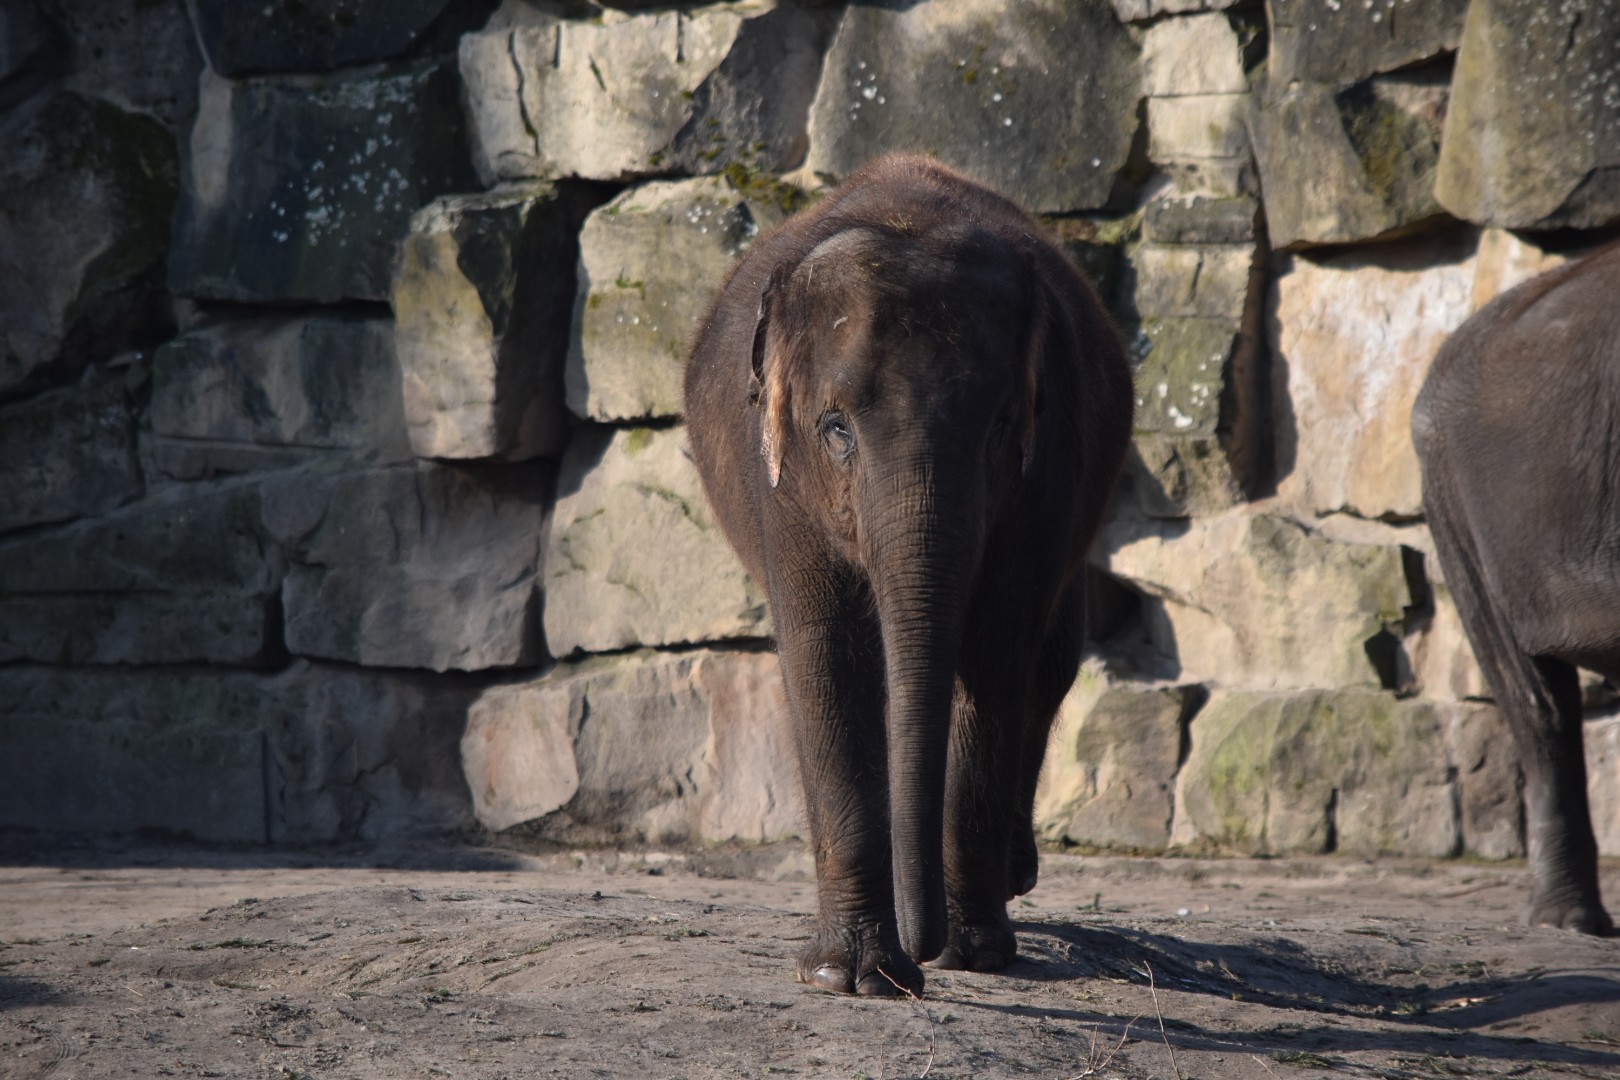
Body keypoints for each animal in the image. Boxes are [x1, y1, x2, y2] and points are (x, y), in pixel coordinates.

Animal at [683, 154, 1134, 995]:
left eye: (1000, 425)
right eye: (835, 430)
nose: (923, 956)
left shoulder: (1049, 465)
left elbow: (993, 656)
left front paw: (972, 955)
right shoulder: (780, 484)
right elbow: (827, 659)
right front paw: (852, 977)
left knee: (1049, 664)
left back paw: (1010, 879)